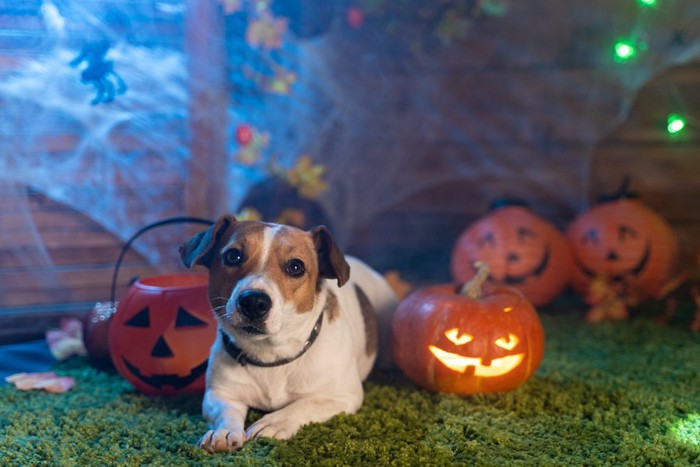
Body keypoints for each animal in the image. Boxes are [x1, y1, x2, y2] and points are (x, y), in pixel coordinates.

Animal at [179, 216, 400, 454]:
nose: (253, 302)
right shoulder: (219, 395)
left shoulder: (342, 396)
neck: (271, 355)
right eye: (233, 256)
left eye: (296, 266)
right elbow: (227, 413)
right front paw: (223, 431)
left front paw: (275, 422)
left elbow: (303, 405)